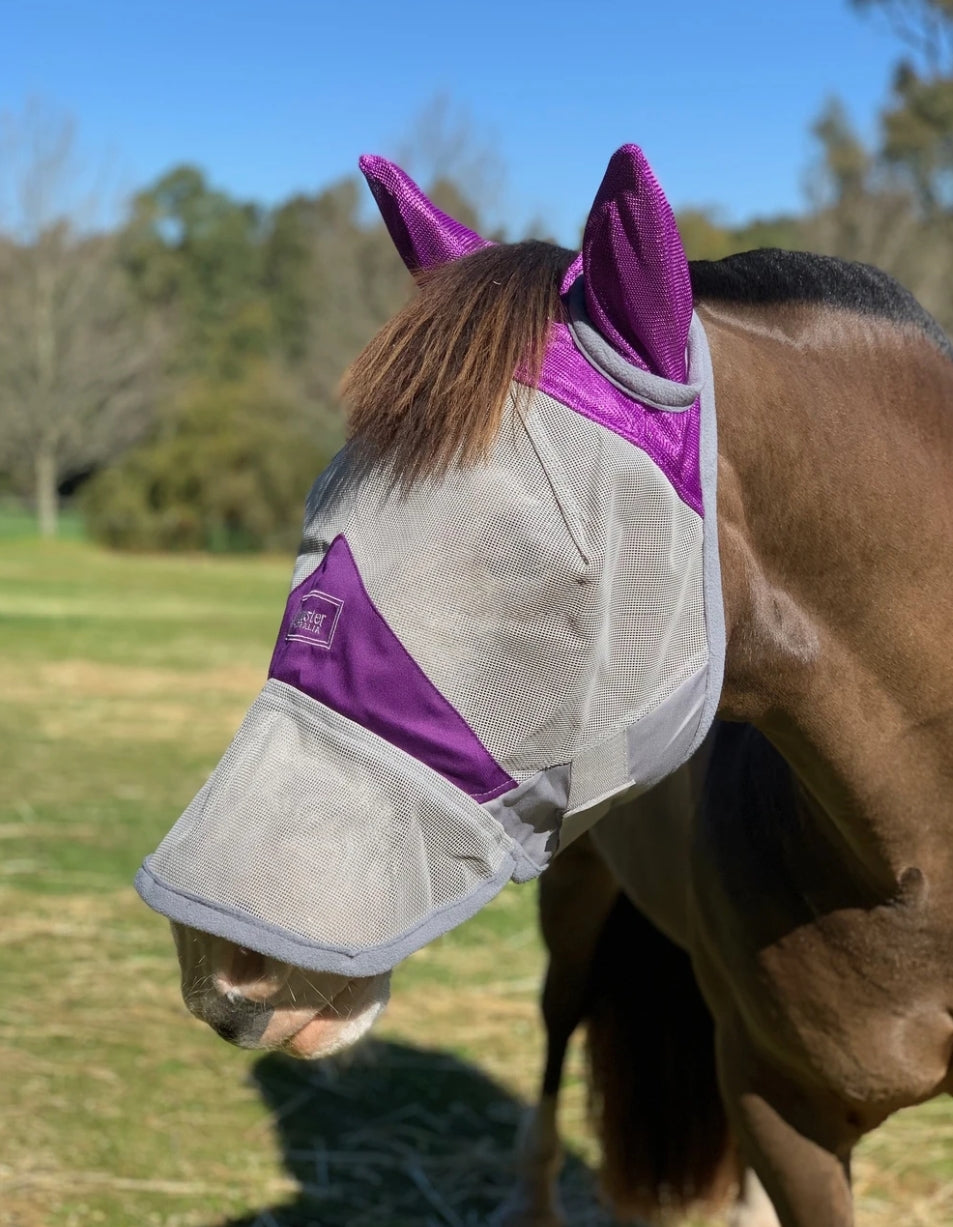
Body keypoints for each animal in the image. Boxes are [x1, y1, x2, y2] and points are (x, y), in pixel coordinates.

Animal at [137, 146, 951, 1227]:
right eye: (319, 512)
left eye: (540, 564)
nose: (215, 960)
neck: (915, 859)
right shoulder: (781, 1107)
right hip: (576, 909)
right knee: (559, 1024)